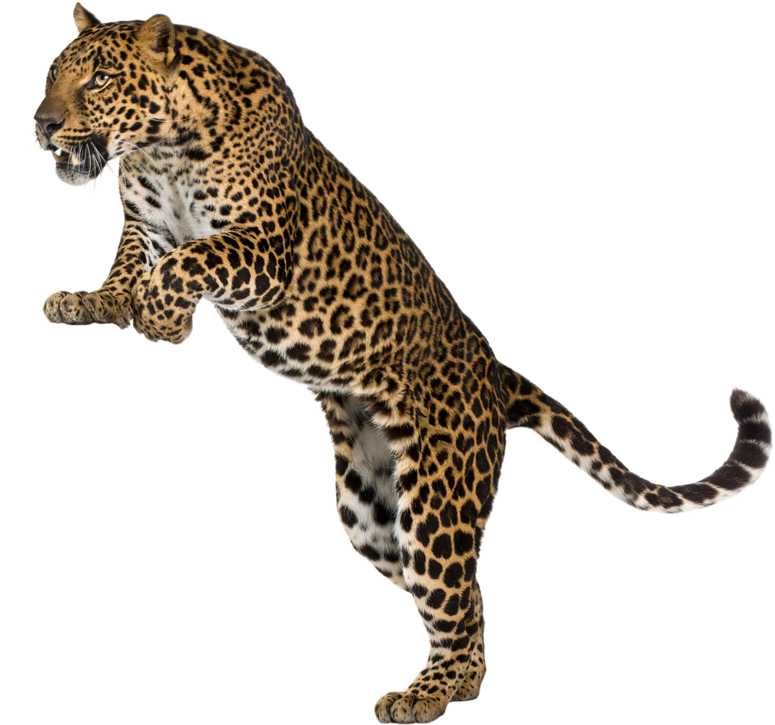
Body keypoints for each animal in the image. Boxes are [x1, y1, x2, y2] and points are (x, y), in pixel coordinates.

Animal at [36, 4, 774, 723]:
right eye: (51, 75)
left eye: (100, 80)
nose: (42, 123)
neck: (162, 149)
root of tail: (496, 374)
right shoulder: (146, 222)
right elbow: (130, 259)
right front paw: (94, 302)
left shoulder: (264, 249)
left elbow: (189, 262)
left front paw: (163, 320)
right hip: (371, 514)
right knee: (467, 600)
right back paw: (459, 683)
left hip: (437, 496)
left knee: (455, 592)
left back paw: (426, 694)